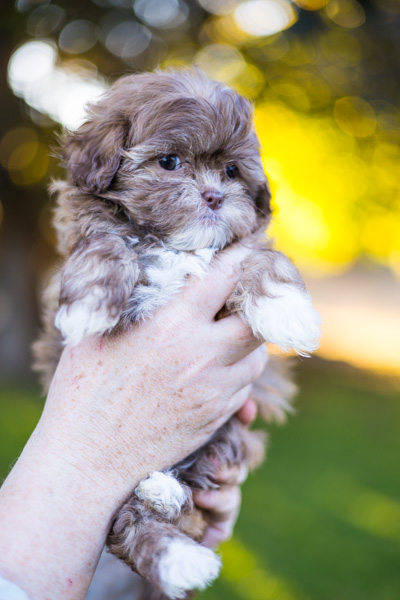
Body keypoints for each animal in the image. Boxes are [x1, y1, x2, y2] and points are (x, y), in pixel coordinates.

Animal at [33, 68, 322, 596]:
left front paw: (288, 312)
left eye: (232, 172)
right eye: (169, 162)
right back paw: (176, 549)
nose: (214, 198)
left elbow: (264, 257)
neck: (175, 245)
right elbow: (105, 245)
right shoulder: (91, 237)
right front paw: (88, 304)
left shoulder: (241, 250)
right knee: (126, 525)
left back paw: (167, 509)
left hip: (223, 445)